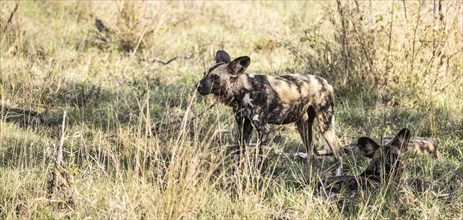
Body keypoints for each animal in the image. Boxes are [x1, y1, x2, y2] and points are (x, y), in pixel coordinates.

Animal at [198, 50, 342, 174]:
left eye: (215, 77)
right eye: (204, 73)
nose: (198, 86)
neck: (243, 91)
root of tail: (325, 82)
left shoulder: (264, 131)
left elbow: (259, 160)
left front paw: (256, 177)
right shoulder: (244, 128)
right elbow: (239, 155)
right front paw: (236, 174)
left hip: (325, 127)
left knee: (338, 156)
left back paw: (337, 176)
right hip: (303, 127)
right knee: (312, 154)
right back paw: (309, 176)